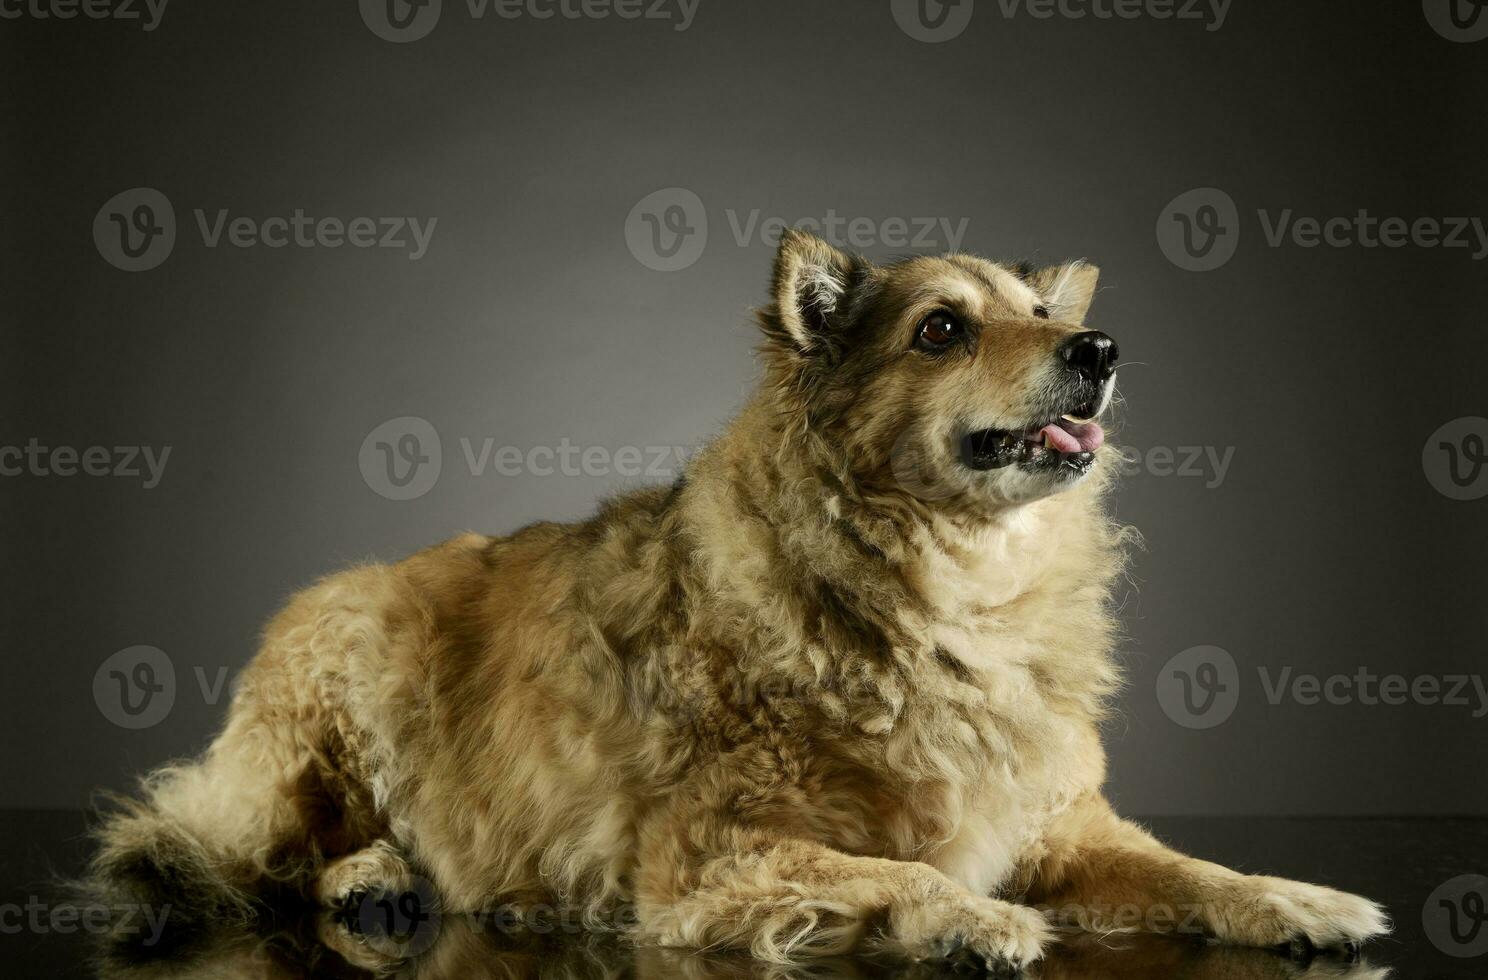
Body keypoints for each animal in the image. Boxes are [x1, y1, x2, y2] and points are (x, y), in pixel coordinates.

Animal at [90, 231, 1392, 975]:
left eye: (1042, 313)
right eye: (943, 329)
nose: (1099, 348)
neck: (952, 594)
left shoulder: (1063, 827)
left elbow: (1196, 872)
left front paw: (1294, 895)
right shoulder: (708, 857)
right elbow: (902, 872)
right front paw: (969, 921)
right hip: (336, 696)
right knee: (251, 849)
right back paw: (370, 870)